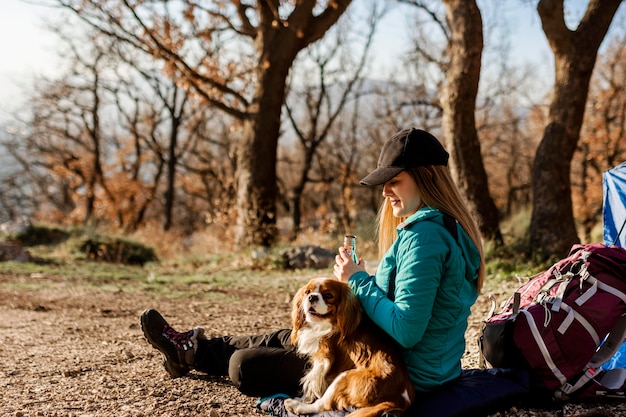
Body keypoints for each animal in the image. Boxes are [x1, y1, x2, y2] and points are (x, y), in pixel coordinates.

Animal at [284, 276, 414, 416]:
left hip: (344, 377)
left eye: (328, 295)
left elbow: (312, 381)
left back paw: (296, 405)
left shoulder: (323, 358)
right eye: (307, 292)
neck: (329, 323)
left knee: (323, 405)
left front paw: (305, 398)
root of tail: (399, 400)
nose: (312, 297)